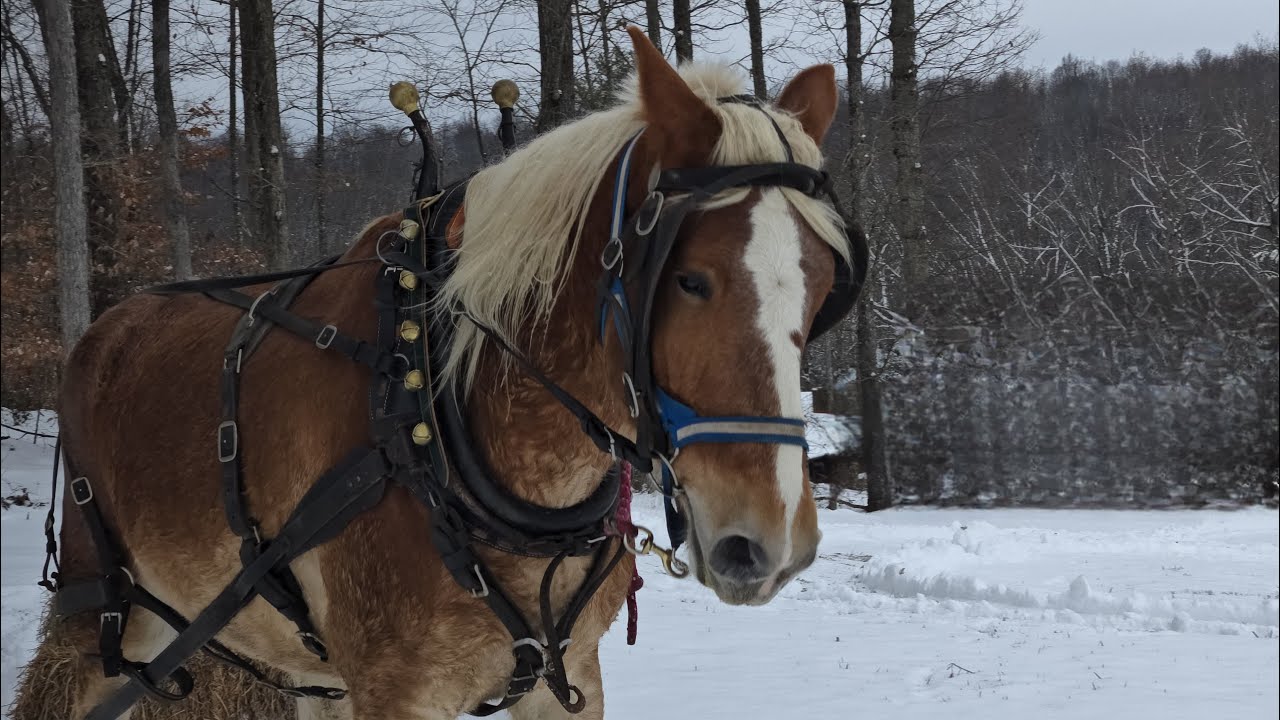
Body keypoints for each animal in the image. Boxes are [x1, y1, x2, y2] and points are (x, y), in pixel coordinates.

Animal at [52, 28, 857, 719]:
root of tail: (104, 329)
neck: (428, 421)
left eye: (823, 289)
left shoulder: (570, 676)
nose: (770, 542)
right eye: (690, 280)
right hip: (107, 616)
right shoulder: (396, 690)